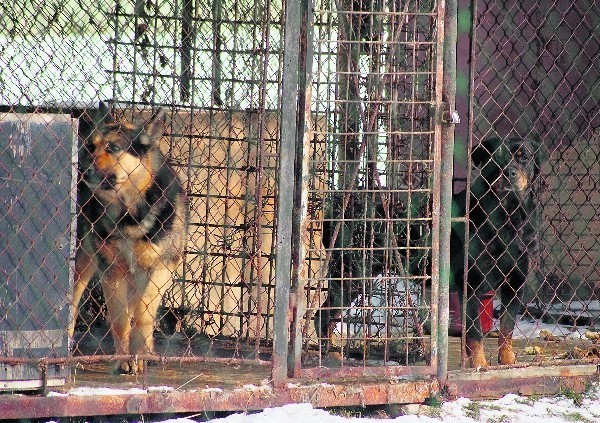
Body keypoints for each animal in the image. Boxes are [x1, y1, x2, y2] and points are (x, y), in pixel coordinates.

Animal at [70, 103, 188, 374]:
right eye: (91, 147)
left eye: (114, 148)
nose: (83, 171)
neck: (129, 214)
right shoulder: (112, 270)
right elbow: (120, 320)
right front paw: (123, 360)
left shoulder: (163, 267)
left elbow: (143, 314)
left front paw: (140, 354)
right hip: (84, 262)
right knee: (72, 304)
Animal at [452, 138, 540, 368]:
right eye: (495, 158)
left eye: (523, 157)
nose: (509, 172)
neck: (507, 214)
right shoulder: (470, 284)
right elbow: (474, 332)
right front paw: (479, 364)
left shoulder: (516, 282)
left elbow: (507, 326)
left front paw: (507, 359)